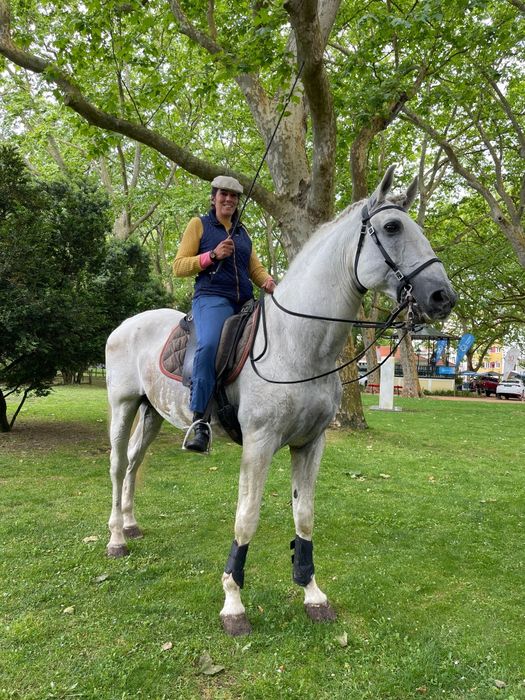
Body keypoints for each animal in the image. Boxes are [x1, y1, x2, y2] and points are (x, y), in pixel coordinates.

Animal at [105, 166, 456, 636]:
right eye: (392, 228)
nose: (442, 296)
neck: (297, 344)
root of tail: (127, 324)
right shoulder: (259, 444)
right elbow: (246, 518)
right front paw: (233, 603)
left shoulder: (310, 444)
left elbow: (304, 515)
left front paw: (312, 593)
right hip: (123, 407)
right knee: (117, 465)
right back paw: (115, 538)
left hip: (152, 413)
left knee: (134, 464)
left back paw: (129, 524)